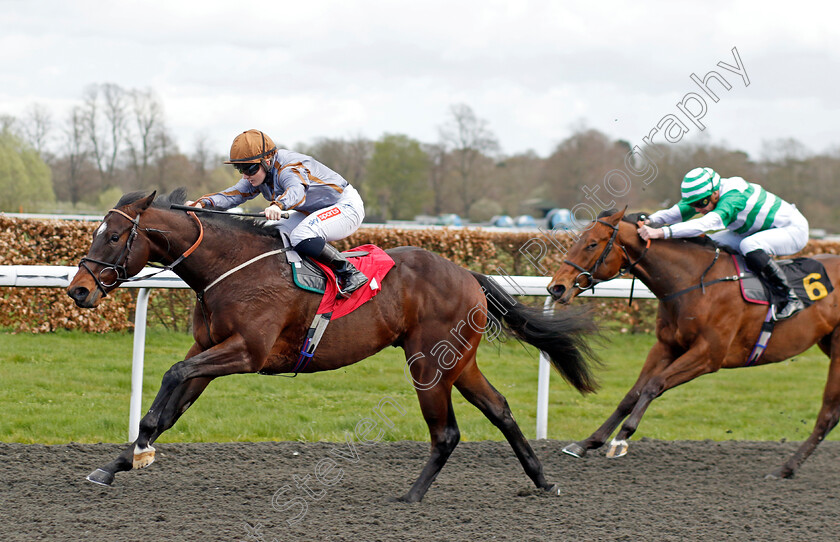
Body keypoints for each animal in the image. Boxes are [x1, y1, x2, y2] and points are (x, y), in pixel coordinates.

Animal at [67, 189, 604, 504]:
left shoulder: (247, 352)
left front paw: (135, 455)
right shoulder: (210, 350)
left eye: (114, 236)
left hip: (428, 363)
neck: (231, 266)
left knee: (447, 432)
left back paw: (411, 496)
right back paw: (542, 480)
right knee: (501, 410)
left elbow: (172, 375)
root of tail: (466, 274)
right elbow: (166, 410)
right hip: (460, 361)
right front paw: (118, 463)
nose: (78, 291)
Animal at [544, 208, 840, 480]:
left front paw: (621, 439)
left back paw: (785, 468)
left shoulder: (708, 355)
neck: (693, 283)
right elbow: (631, 394)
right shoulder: (665, 346)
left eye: (592, 243)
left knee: (827, 414)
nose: (556, 287)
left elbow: (654, 385)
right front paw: (587, 442)